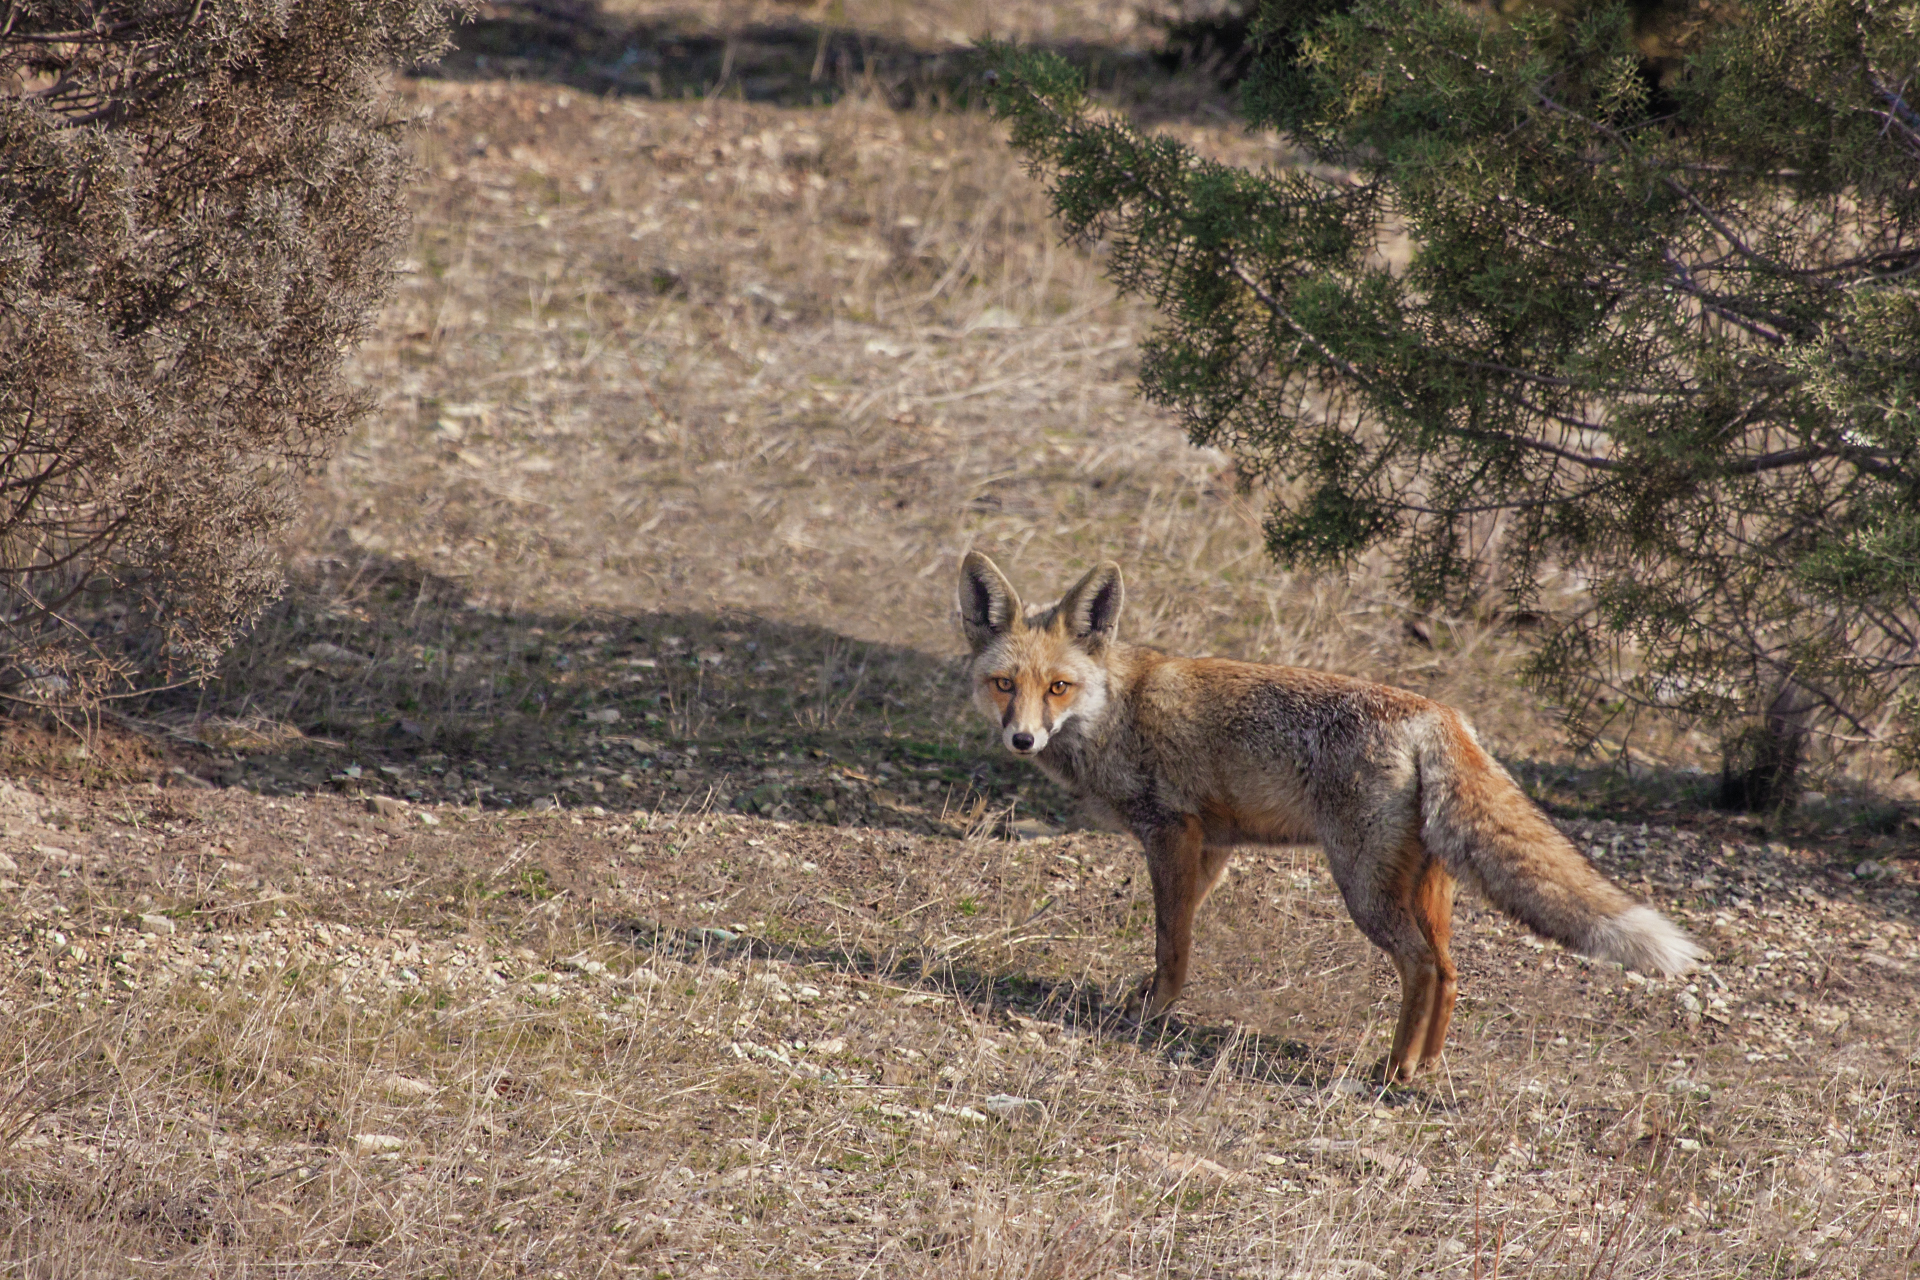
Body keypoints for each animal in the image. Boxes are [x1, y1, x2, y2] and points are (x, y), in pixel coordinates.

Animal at [958, 551, 1704, 1082]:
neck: (1116, 710)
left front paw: (1154, 1009)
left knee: (1422, 967)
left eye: (1058, 687)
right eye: (1005, 684)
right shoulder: (1213, 846)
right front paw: (1149, 997)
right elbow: (1182, 933)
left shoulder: (1171, 831)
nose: (1021, 739)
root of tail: (1441, 714)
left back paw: (1394, 1071)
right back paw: (1427, 1066)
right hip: (1423, 888)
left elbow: (1172, 940)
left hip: (1364, 889)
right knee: (1451, 971)